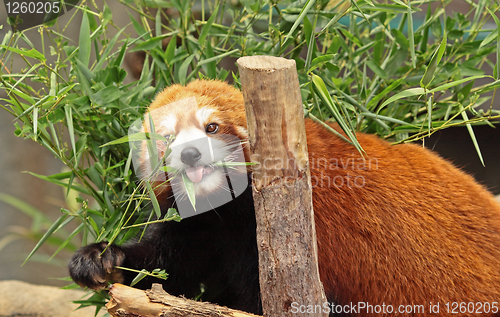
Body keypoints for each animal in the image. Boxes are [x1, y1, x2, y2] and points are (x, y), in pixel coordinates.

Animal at [70, 78, 500, 314]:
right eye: (167, 137)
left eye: (212, 127)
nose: (190, 153)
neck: (232, 212)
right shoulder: (204, 227)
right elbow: (170, 267)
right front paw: (100, 259)